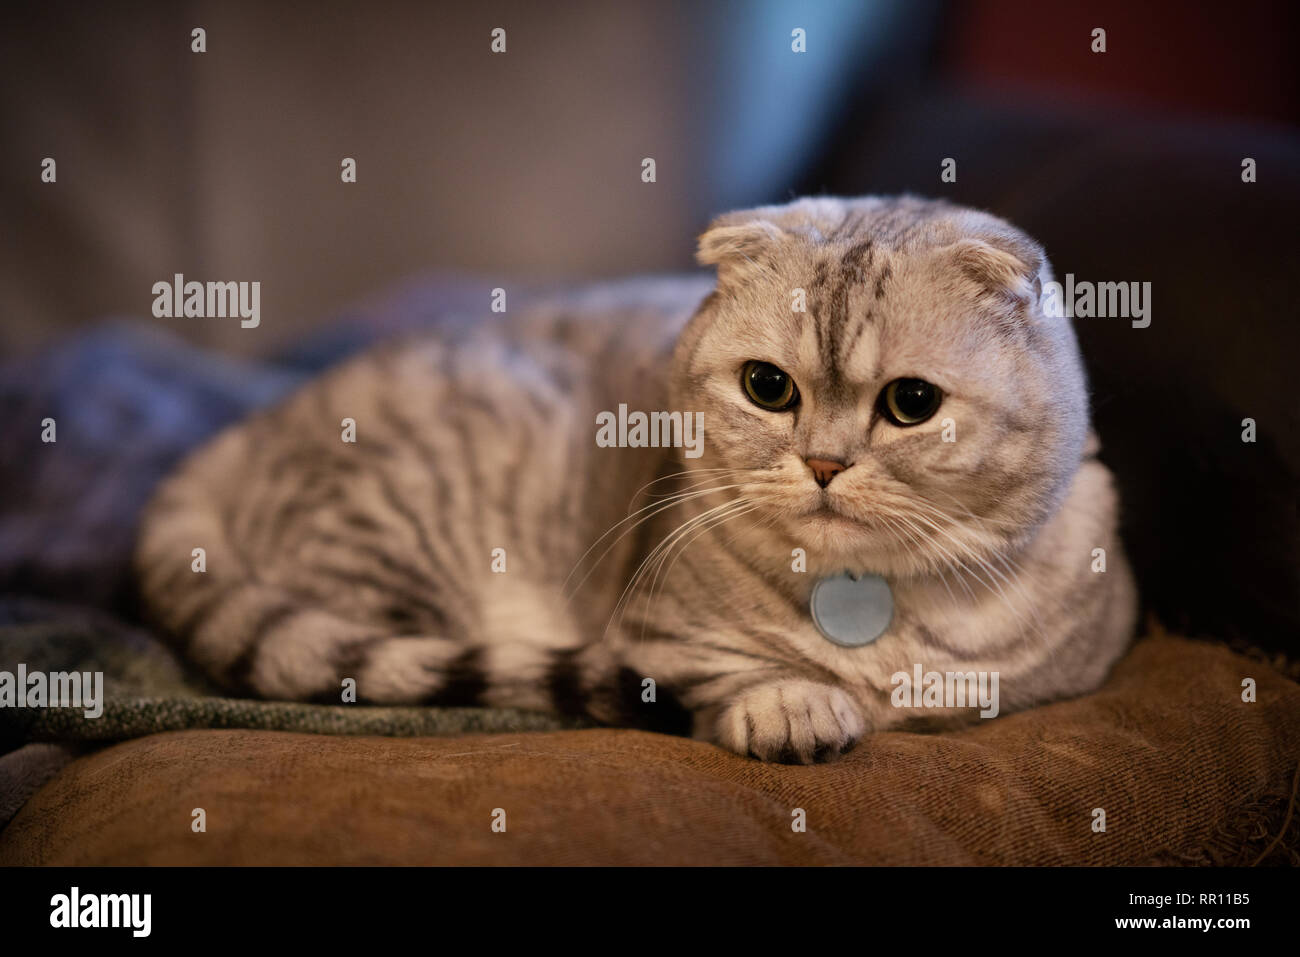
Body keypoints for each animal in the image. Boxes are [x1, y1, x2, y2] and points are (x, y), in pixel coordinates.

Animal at [129, 196, 1138, 764]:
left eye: (912, 402)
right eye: (768, 388)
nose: (822, 463)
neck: (868, 606)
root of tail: (249, 429)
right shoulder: (659, 638)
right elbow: (743, 675)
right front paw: (798, 705)